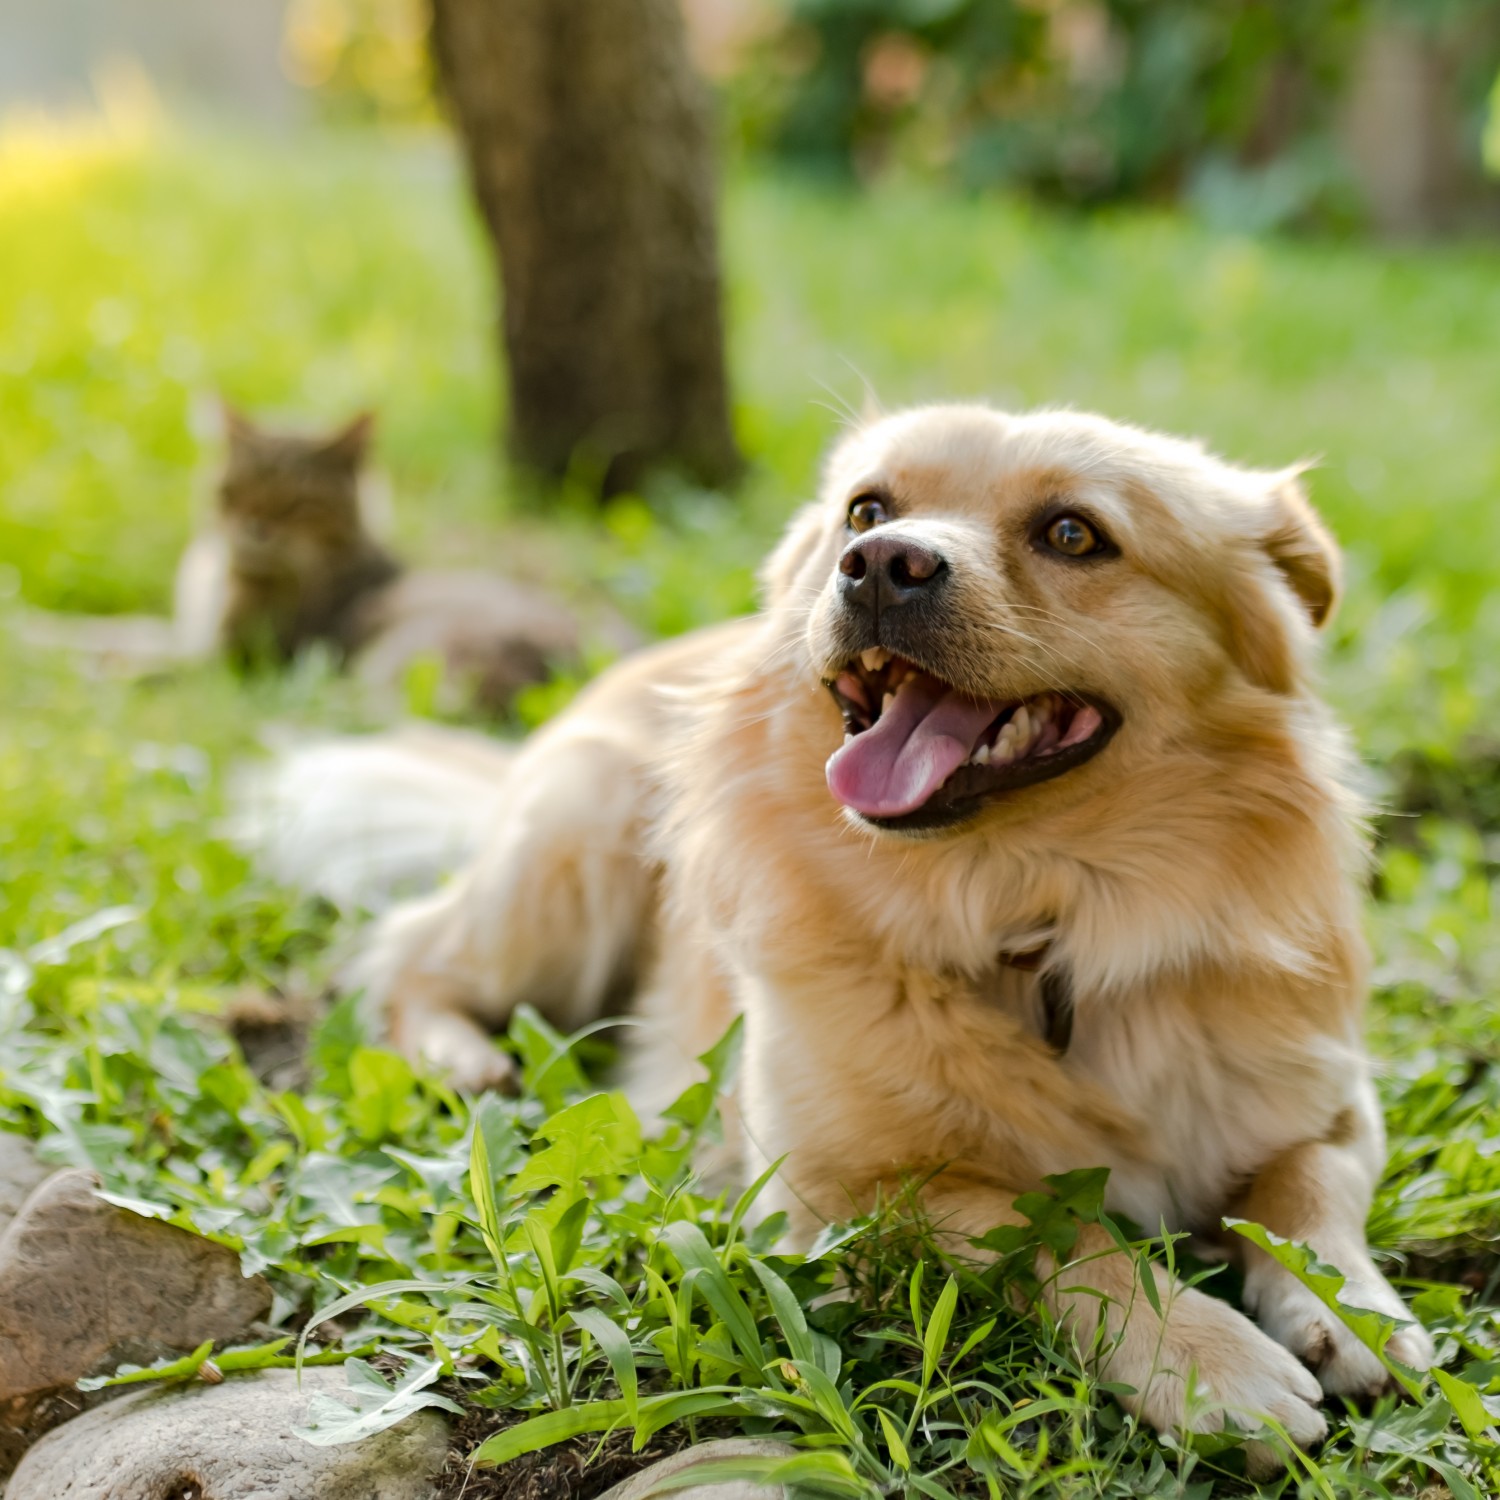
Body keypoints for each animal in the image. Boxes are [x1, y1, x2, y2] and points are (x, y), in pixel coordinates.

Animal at [267, 405, 1428, 1458]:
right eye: (867, 509)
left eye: (1073, 533)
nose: (879, 564)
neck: (1040, 918)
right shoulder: (838, 1190)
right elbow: (1058, 1229)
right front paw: (1208, 1361)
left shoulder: (1334, 1100)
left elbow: (1306, 1188)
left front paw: (1351, 1309)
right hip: (575, 839)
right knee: (410, 954)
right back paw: (459, 1056)